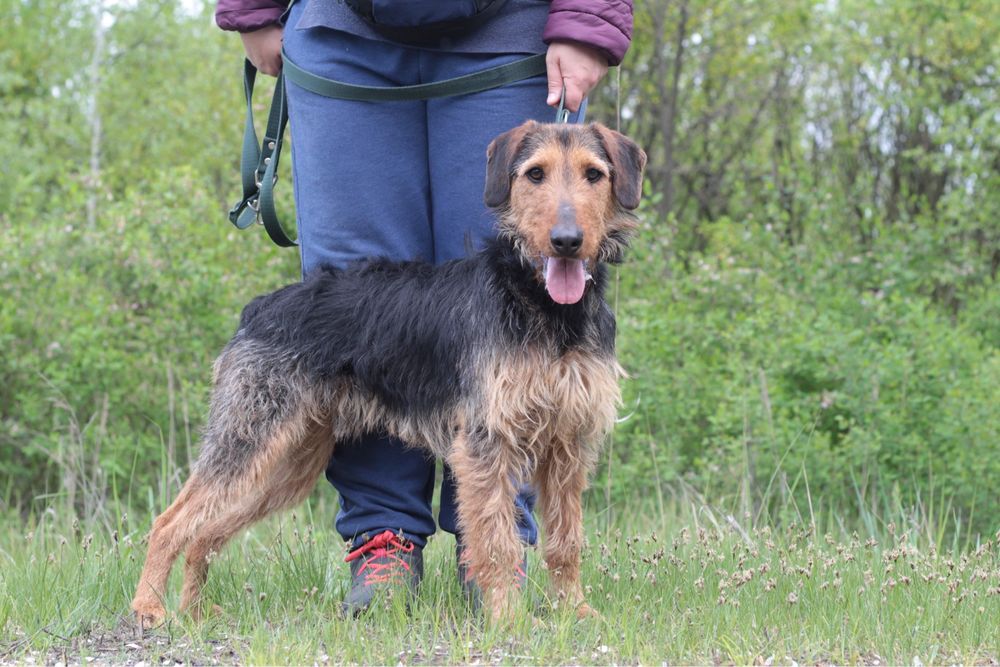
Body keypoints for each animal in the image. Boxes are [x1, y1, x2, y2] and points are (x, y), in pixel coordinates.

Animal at [133, 120, 644, 628]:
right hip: (250, 439)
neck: (545, 307)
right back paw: (149, 608)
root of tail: (256, 309)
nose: (567, 240)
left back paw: (196, 610)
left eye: (594, 174)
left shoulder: (569, 442)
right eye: (535, 174)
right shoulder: (488, 441)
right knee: (170, 523)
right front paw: (508, 620)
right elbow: (497, 543)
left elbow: (566, 542)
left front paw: (576, 611)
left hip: (284, 463)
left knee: (204, 533)